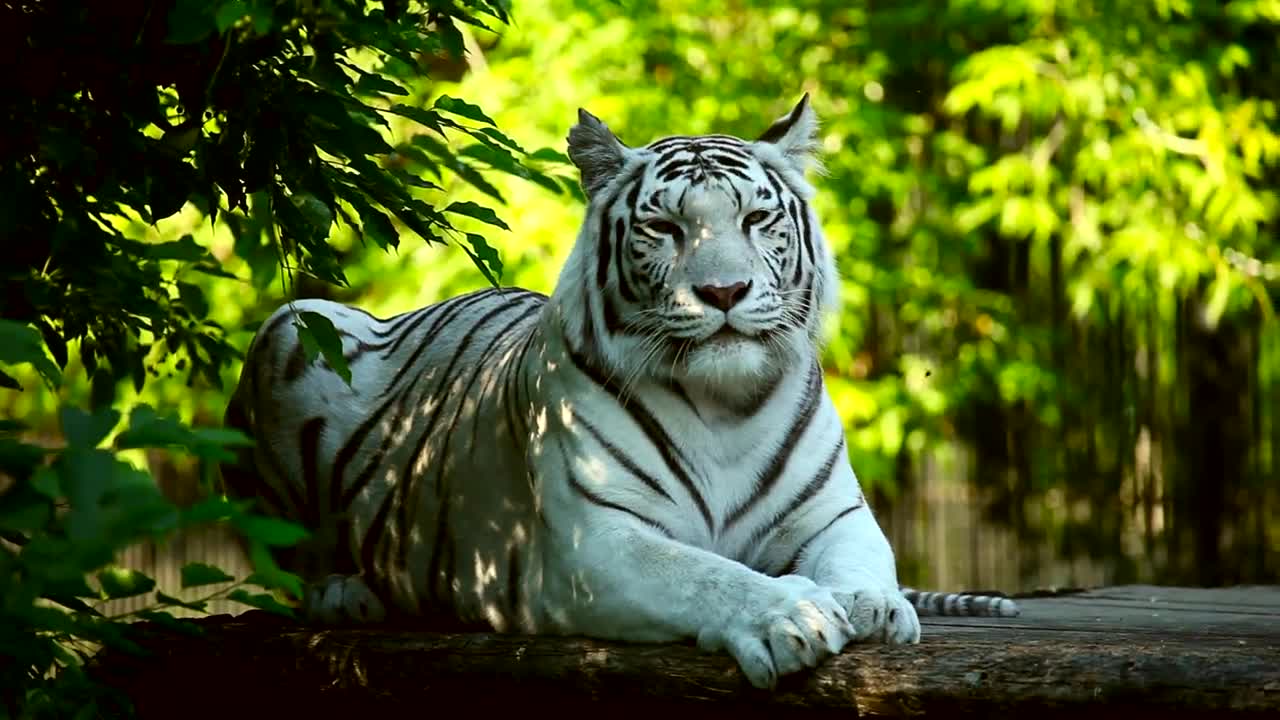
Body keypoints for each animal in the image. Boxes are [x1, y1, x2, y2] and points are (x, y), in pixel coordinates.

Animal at [221, 94, 1019, 691]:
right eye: (664, 227)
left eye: (755, 219)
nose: (724, 291)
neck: (727, 407)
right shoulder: (593, 542)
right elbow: (704, 573)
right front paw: (793, 615)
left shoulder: (832, 515)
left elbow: (862, 561)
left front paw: (872, 605)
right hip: (297, 326)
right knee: (283, 556)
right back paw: (345, 590)